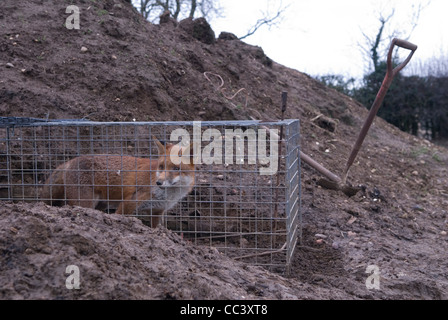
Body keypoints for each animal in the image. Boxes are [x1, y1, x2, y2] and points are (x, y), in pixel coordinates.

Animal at [41, 138, 194, 228]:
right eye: (161, 167)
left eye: (176, 169)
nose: (159, 182)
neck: (167, 196)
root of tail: (69, 162)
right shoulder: (129, 202)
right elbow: (119, 216)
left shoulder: (157, 211)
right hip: (85, 202)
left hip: (101, 204)